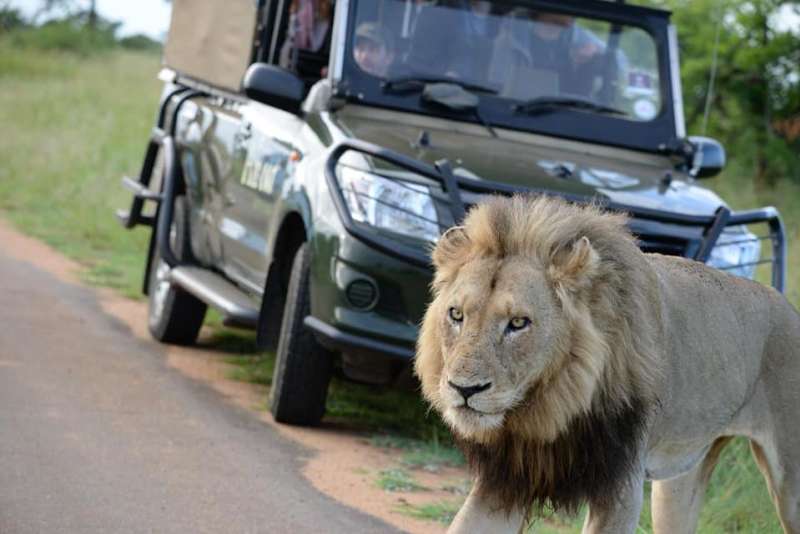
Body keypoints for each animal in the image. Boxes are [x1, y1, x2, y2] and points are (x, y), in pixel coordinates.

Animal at [415, 195, 800, 533]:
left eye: (519, 323)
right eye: (456, 315)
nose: (464, 389)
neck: (553, 405)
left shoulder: (621, 488)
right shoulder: (506, 480)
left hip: (790, 482)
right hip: (679, 482)